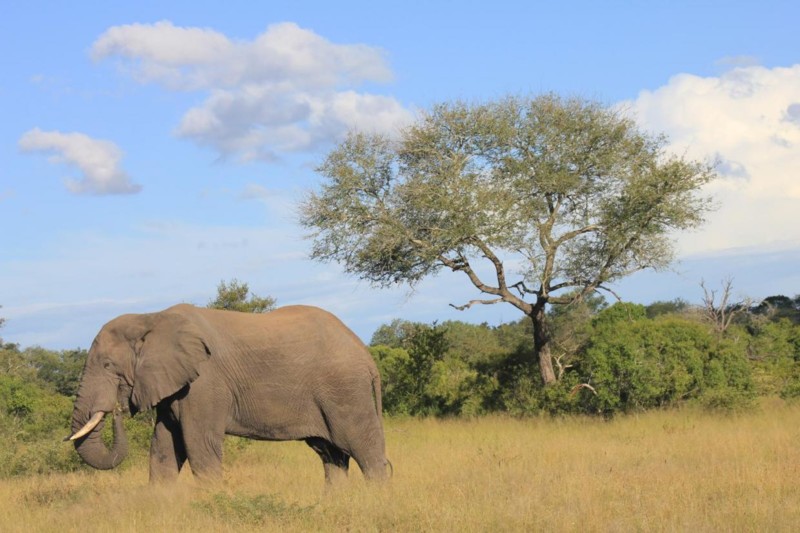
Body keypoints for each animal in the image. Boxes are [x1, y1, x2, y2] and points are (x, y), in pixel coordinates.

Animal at [66, 303, 390, 485]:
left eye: (107, 365)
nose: (117, 410)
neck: (150, 317)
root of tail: (367, 356)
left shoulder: (205, 383)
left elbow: (200, 448)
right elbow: (163, 450)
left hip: (345, 391)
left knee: (365, 452)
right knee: (332, 456)